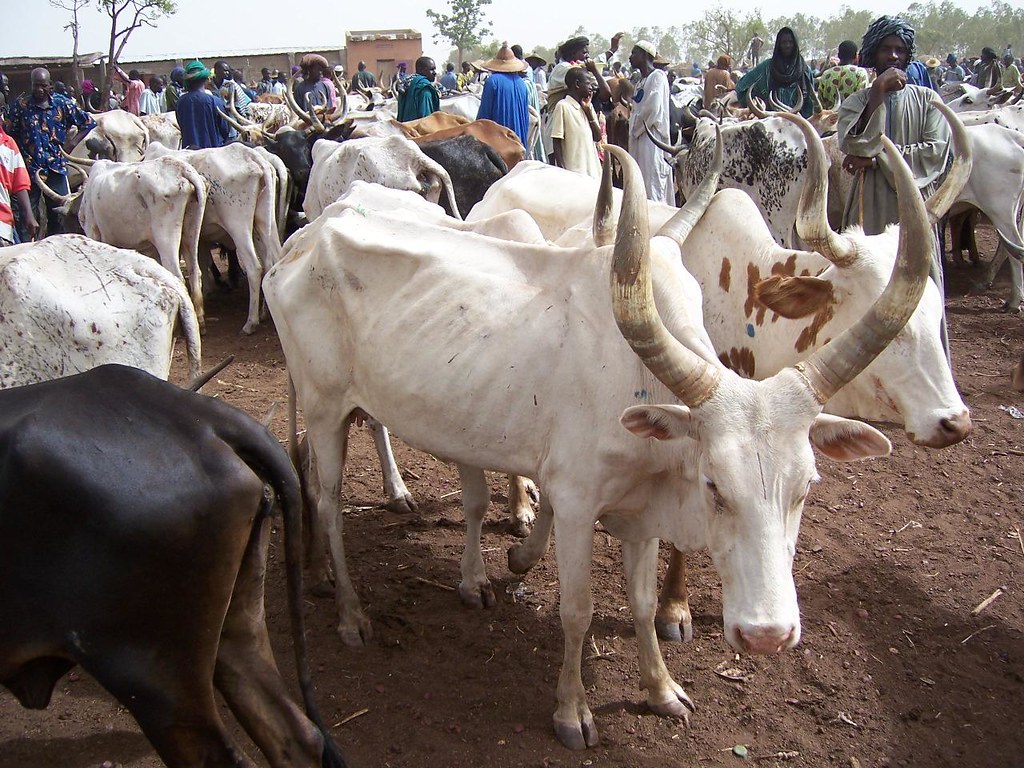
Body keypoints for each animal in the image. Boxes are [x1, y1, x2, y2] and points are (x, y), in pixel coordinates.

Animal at [36, 154, 209, 332]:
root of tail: (182, 169)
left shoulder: (93, 232)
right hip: (191, 231)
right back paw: (200, 318)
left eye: (63, 219)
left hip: (165, 235)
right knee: (195, 271)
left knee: (177, 274)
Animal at [263, 130, 934, 749]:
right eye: (714, 484)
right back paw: (350, 612)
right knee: (327, 499)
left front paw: (660, 688)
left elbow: (641, 603)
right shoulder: (577, 504)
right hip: (322, 405)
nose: (767, 635)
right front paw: (572, 711)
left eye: (806, 487)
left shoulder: (640, 515)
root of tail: (304, 238)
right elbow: (577, 609)